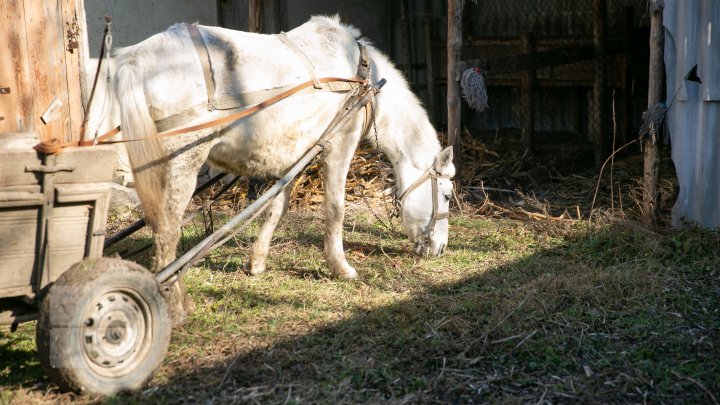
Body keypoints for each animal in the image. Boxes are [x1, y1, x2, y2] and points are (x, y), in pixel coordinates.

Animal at [112, 15, 456, 316]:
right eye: (447, 195)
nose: (440, 248)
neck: (360, 75)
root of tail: (138, 59)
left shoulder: (298, 153)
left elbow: (278, 206)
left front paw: (256, 262)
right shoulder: (339, 144)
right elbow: (335, 208)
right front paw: (340, 266)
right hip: (183, 161)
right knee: (168, 230)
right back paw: (175, 302)